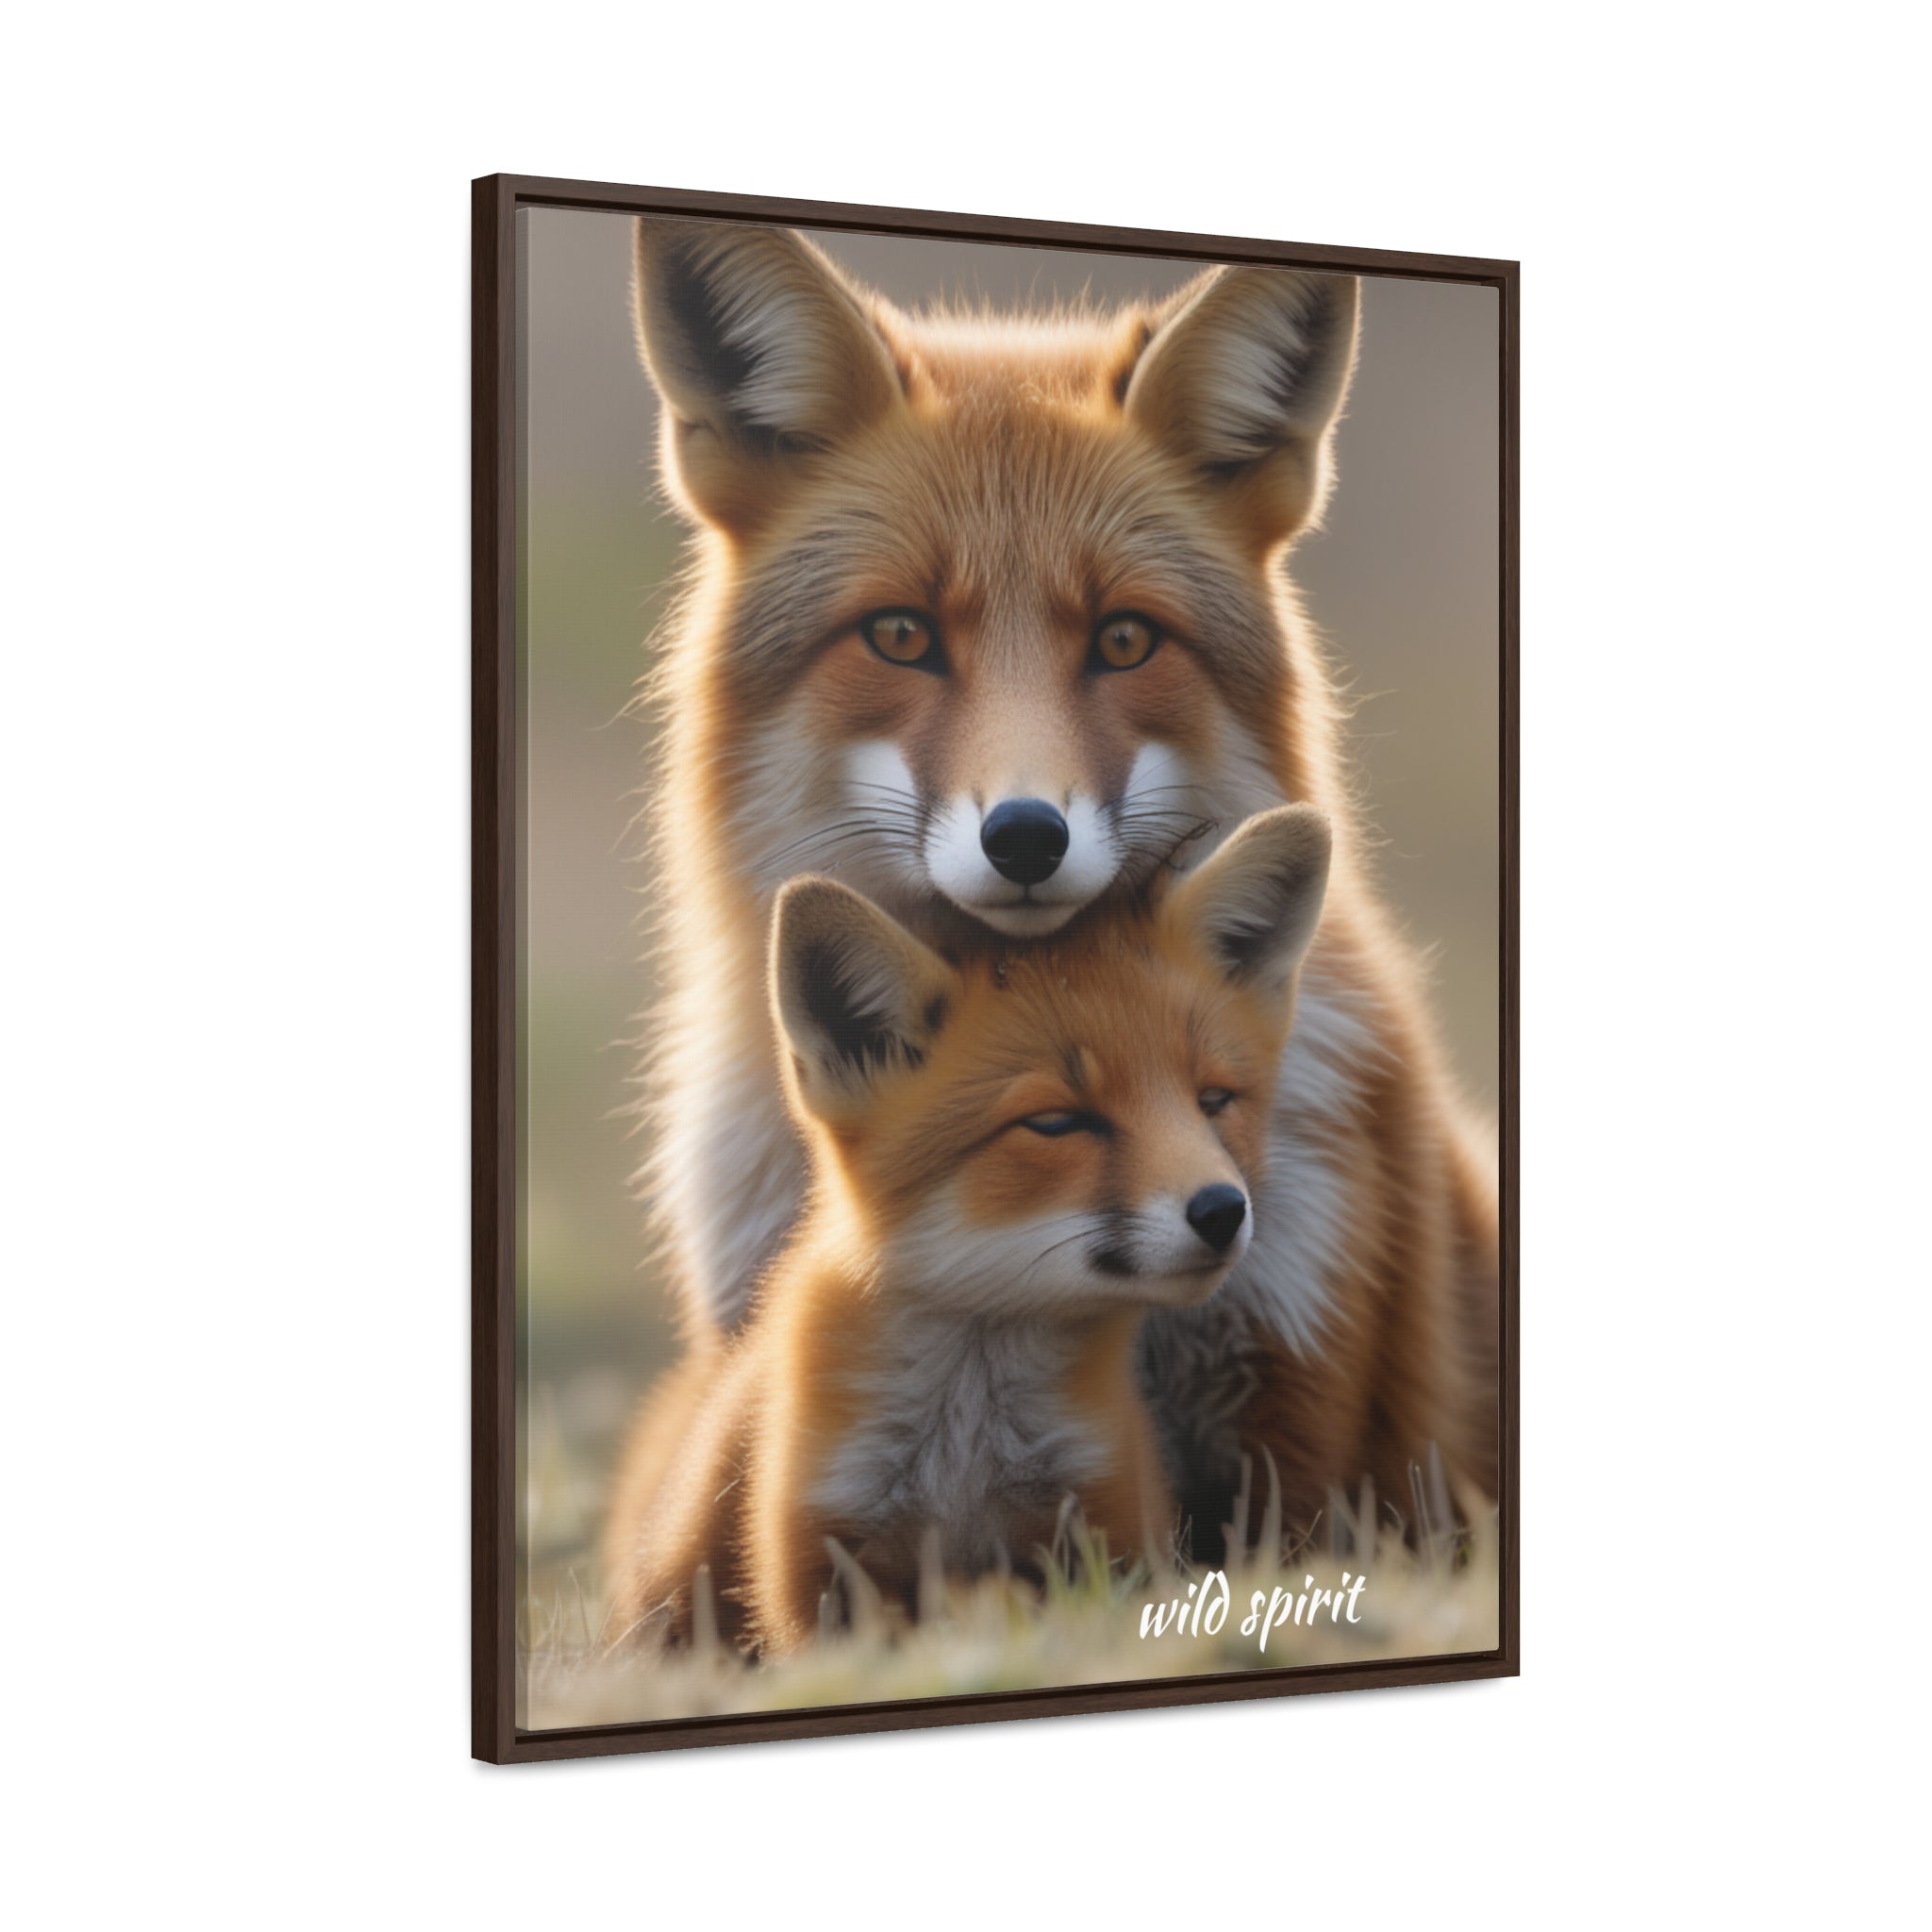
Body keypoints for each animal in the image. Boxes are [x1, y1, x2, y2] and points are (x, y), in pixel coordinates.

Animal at [604, 806, 1332, 1652]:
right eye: (1056, 1122)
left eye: (1213, 1101)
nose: (1222, 1210)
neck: (966, 1453)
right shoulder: (817, 1563)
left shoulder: (1106, 1525)